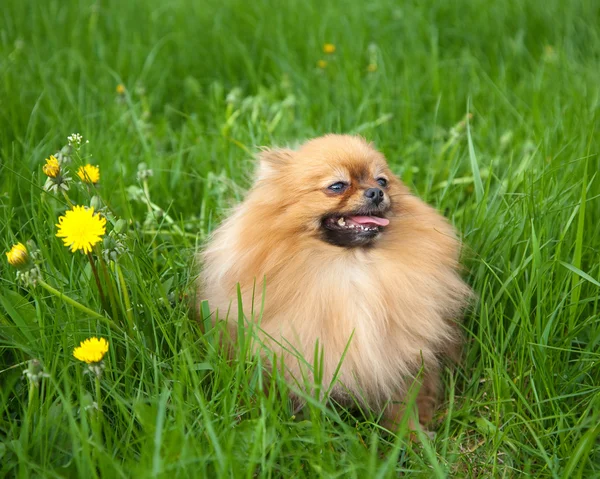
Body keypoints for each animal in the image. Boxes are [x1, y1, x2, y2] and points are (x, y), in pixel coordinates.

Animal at [199, 134, 472, 432]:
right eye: (337, 186)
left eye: (382, 181)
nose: (376, 193)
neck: (351, 269)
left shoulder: (402, 357)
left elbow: (406, 400)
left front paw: (412, 434)